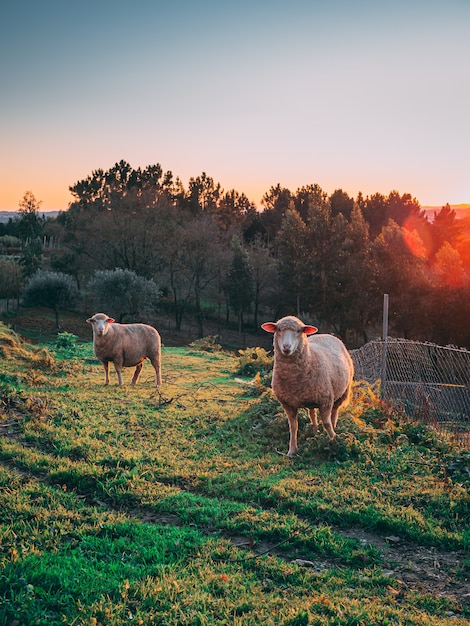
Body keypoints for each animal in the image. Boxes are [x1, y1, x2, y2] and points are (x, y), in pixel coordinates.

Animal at [260, 316, 352, 454]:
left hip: (343, 392)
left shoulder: (326, 400)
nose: (286, 346)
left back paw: (334, 427)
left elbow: (326, 423)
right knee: (312, 413)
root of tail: (329, 335)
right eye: (279, 329)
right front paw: (292, 450)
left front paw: (334, 439)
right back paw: (315, 431)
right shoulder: (287, 403)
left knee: (334, 412)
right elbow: (293, 426)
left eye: (299, 331)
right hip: (310, 397)